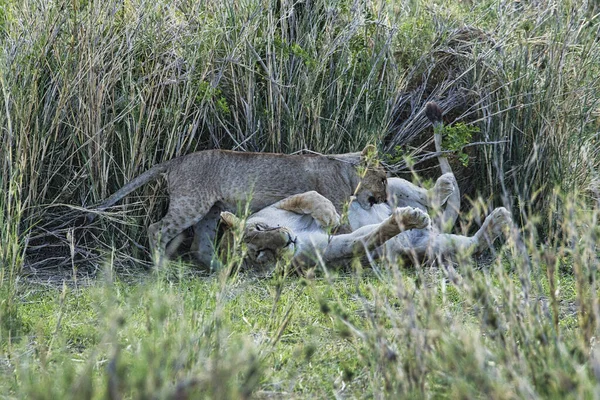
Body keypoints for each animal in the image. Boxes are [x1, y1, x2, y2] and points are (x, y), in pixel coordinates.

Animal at [91, 145, 386, 268]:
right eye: (383, 179)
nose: (384, 199)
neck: (344, 170)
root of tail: (176, 161)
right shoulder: (335, 204)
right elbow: (340, 227)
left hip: (211, 211)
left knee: (200, 245)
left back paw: (222, 267)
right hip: (191, 204)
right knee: (156, 229)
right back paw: (161, 268)